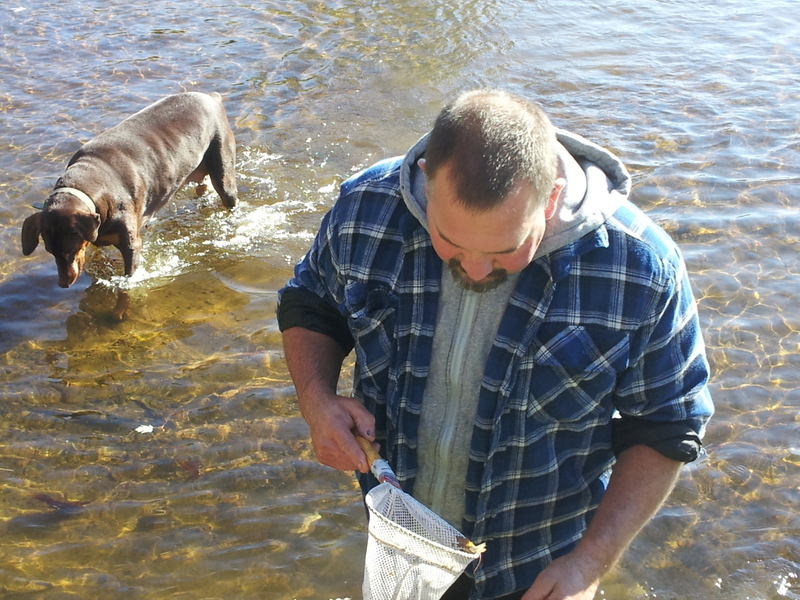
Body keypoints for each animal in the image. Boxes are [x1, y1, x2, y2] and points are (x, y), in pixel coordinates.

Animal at [20, 93, 236, 288]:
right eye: (50, 251)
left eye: (69, 250)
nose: (64, 284)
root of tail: (213, 97)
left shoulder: (131, 245)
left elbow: (129, 274)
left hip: (222, 162)